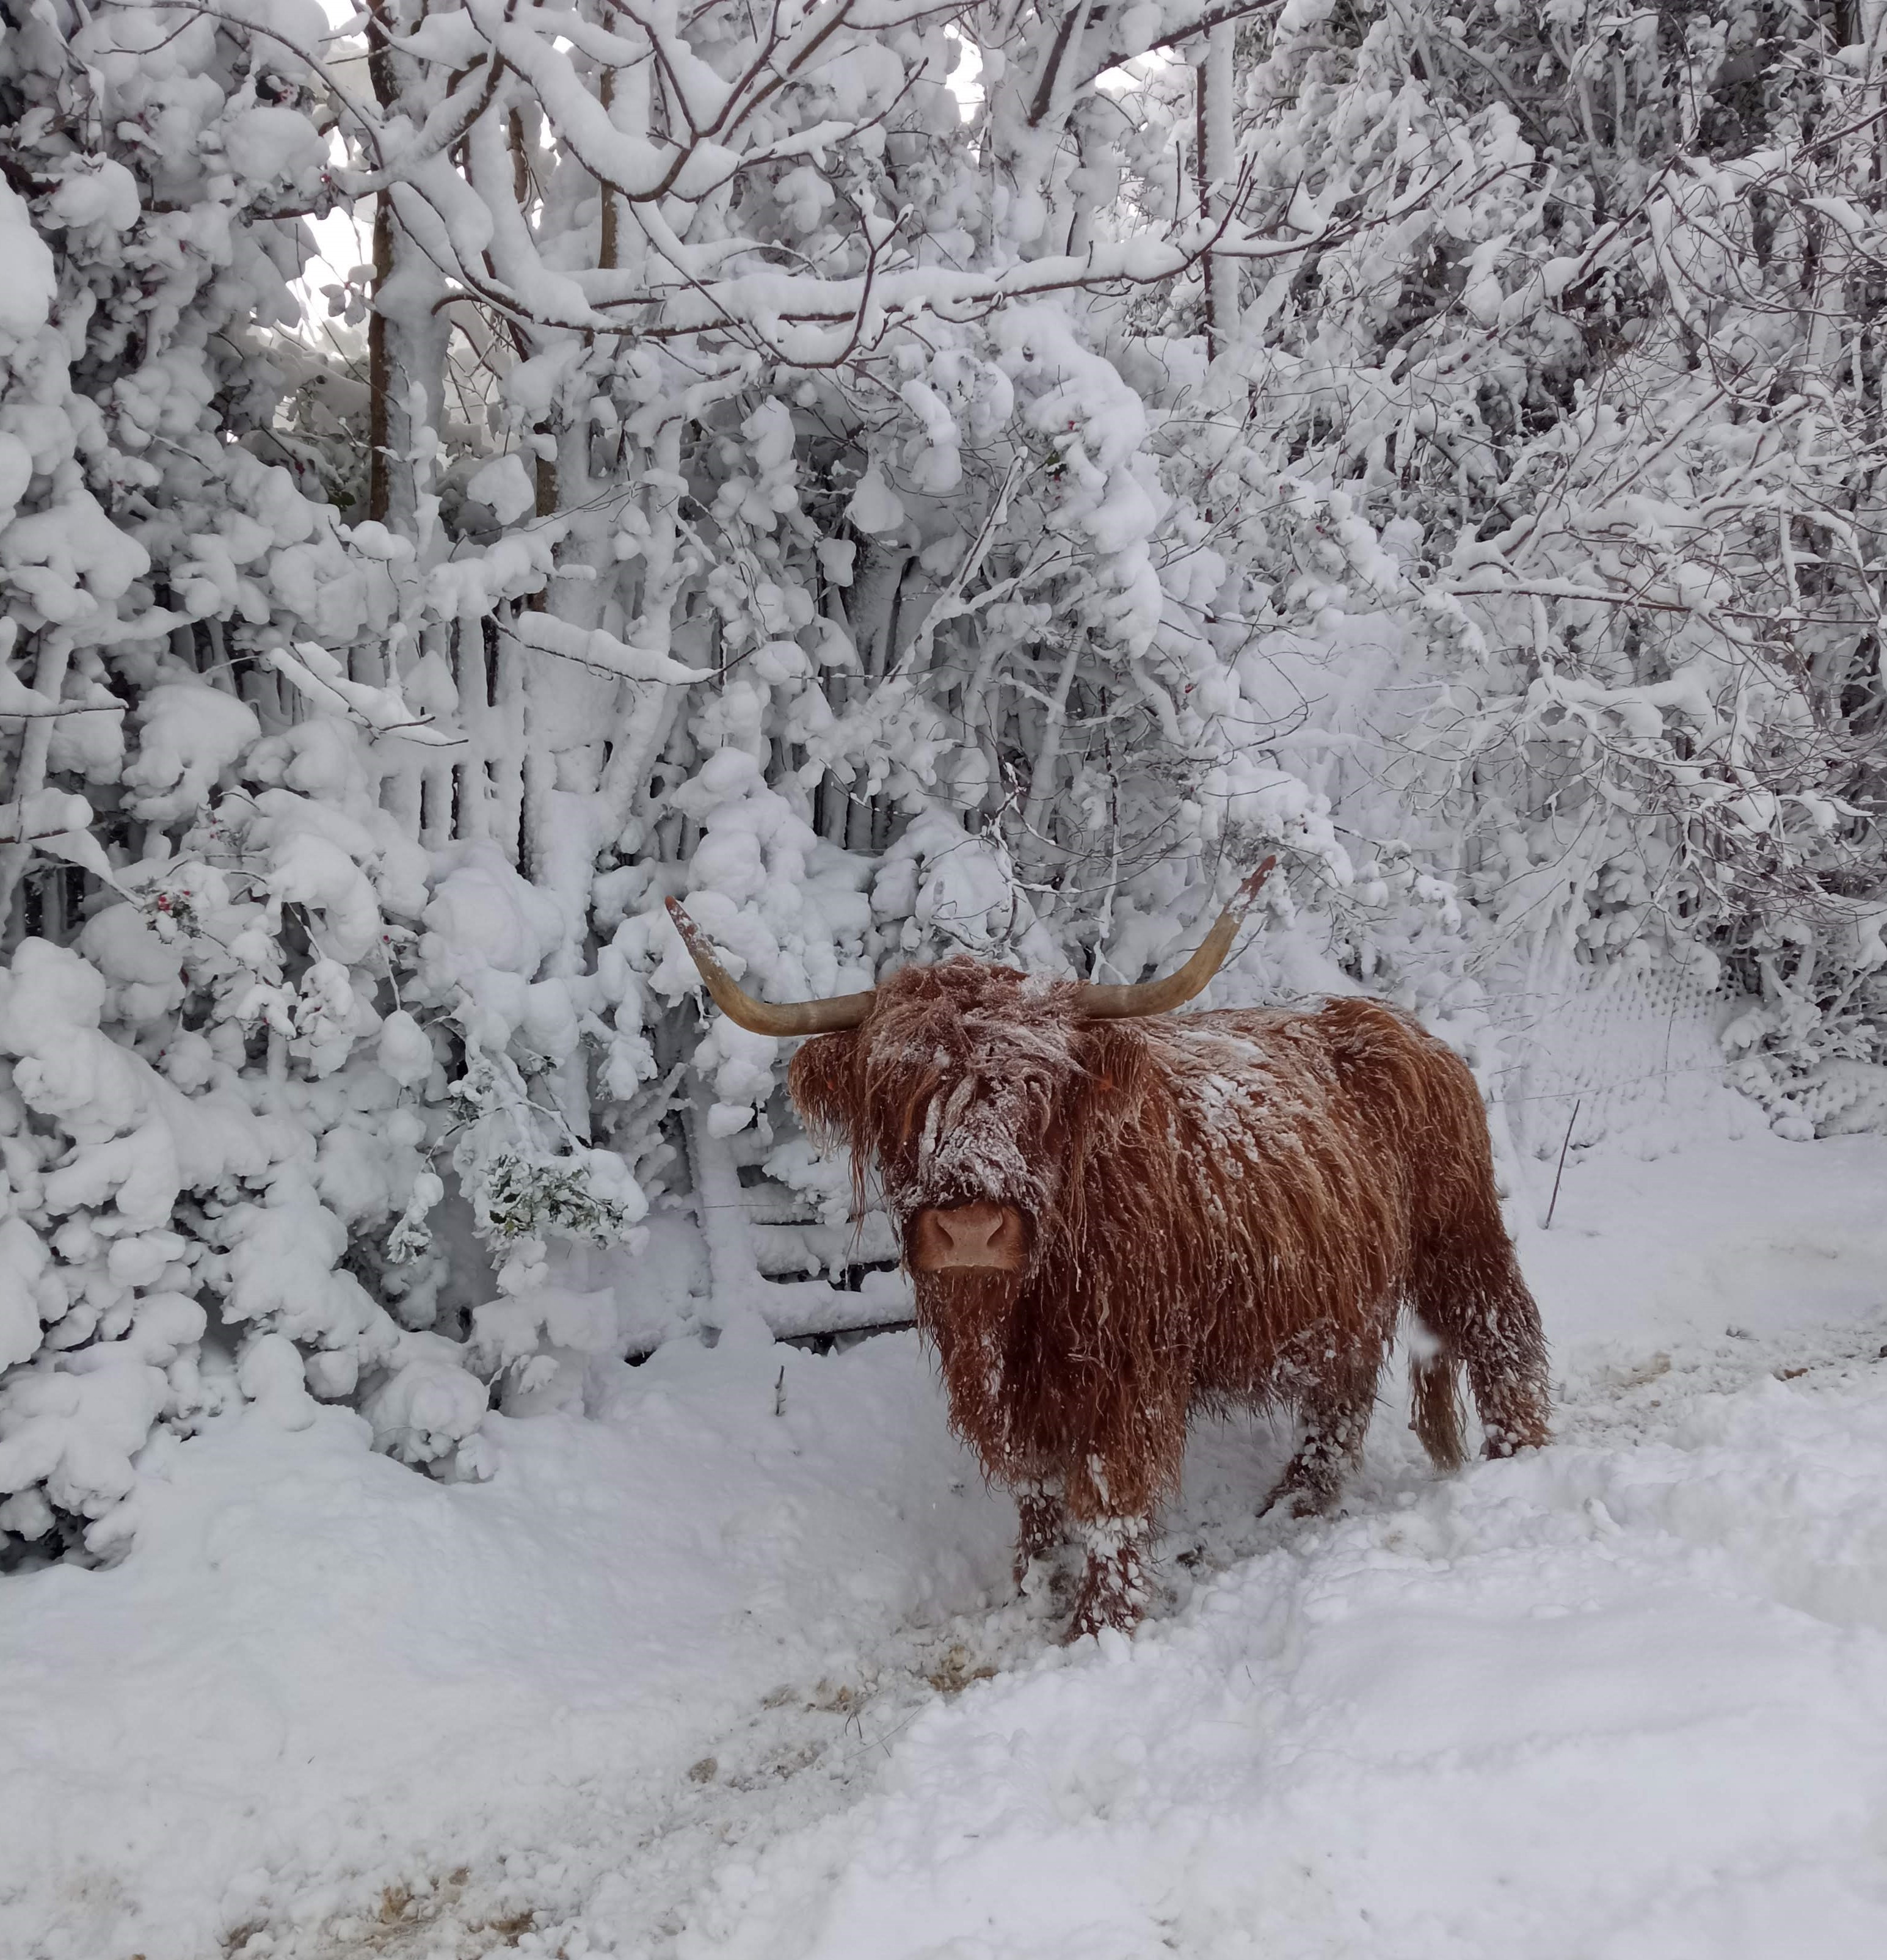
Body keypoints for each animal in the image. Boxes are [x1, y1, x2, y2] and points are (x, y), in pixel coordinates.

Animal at [662, 874, 1552, 1638]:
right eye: (896, 1090)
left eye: (1037, 1084)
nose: (971, 1230)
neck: (1026, 1305)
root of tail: (1403, 1027)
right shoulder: (1010, 1388)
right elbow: (1035, 1488)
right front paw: (1032, 1585)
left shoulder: (1127, 1375)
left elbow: (1106, 1497)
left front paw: (1101, 1623)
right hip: (1341, 1287)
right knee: (1344, 1387)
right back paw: (1298, 1499)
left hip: (1460, 1236)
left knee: (1500, 1333)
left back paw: (1518, 1456)